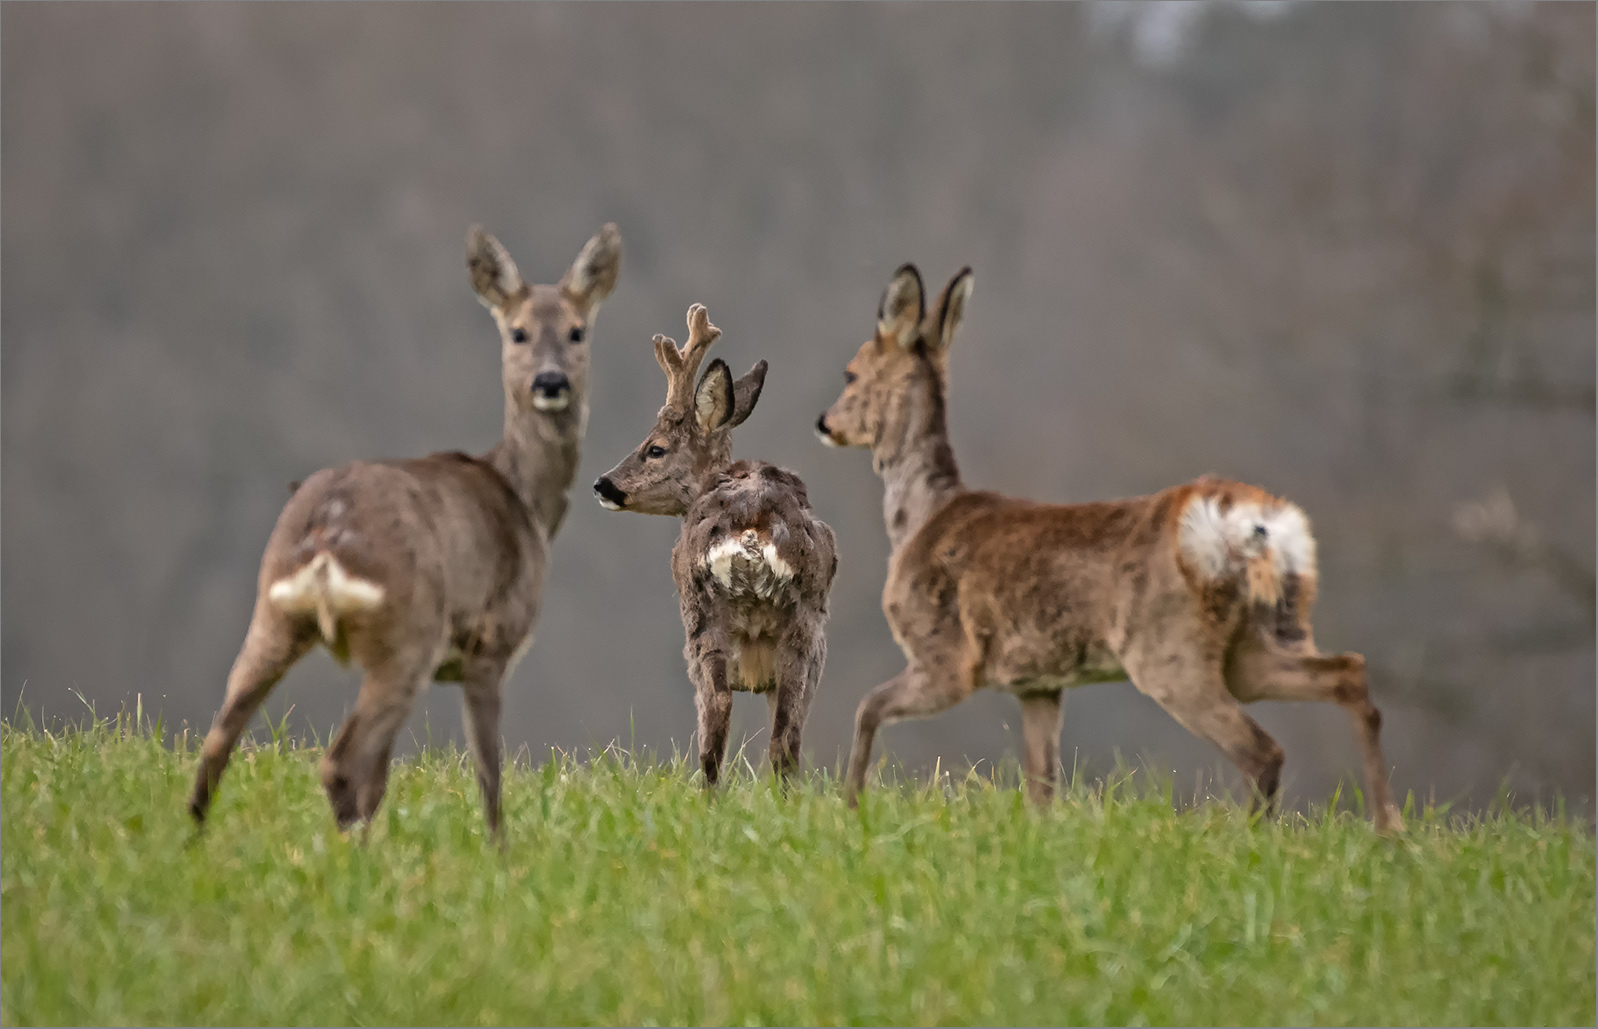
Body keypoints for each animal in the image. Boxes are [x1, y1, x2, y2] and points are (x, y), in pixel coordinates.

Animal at [191, 223, 623, 837]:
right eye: (517, 332)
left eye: (576, 330)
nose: (550, 380)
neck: (527, 502)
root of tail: (326, 531)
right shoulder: (491, 643)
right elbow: (489, 775)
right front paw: (501, 852)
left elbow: (383, 783)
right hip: (407, 632)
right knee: (339, 762)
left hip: (274, 614)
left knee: (218, 742)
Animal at [591, 305, 837, 789]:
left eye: (654, 448)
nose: (603, 484)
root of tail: (753, 528)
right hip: (802, 631)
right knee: (786, 731)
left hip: (705, 618)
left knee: (719, 707)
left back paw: (707, 793)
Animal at [818, 265, 1406, 837]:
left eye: (850, 373)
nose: (823, 422)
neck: (920, 519)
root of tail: (1252, 521)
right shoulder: (1039, 684)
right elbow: (1041, 786)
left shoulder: (946, 656)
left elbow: (867, 707)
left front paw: (850, 809)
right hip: (1259, 640)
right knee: (1348, 673)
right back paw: (1388, 828)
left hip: (1168, 649)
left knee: (1263, 750)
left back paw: (1253, 843)